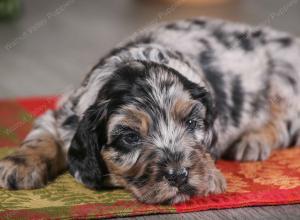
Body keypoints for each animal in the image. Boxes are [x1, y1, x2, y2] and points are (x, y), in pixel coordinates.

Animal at [0, 17, 300, 205]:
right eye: (130, 137)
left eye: (192, 122)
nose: (179, 175)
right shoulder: (62, 115)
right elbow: (40, 137)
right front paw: (18, 165)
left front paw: (211, 176)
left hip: (284, 86)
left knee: (283, 123)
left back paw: (252, 141)